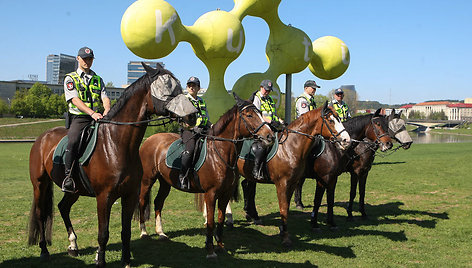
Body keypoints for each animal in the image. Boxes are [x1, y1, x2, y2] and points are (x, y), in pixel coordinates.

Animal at [27, 63, 197, 268]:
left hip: (74, 190)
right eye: (166, 88)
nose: (192, 115)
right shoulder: (104, 197)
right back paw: (44, 250)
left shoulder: (129, 195)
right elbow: (103, 233)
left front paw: (126, 260)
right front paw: (100, 260)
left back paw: (73, 245)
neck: (116, 144)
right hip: (40, 184)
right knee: (40, 214)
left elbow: (126, 231)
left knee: (63, 207)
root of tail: (42, 138)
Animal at [136, 96, 274, 258]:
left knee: (158, 203)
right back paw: (143, 232)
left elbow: (220, 219)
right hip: (147, 180)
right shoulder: (210, 193)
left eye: (259, 113)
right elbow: (210, 221)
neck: (219, 154)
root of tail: (149, 140)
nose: (270, 136)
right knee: (142, 201)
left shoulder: (225, 193)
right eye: (249, 115)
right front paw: (210, 249)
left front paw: (220, 246)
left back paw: (161, 232)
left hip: (165, 182)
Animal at [236, 103, 350, 247]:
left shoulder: (294, 183)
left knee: (247, 187)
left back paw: (252, 216)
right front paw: (286, 236)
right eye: (330, 120)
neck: (289, 147)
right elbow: (284, 208)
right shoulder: (283, 184)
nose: (346, 140)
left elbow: (288, 207)